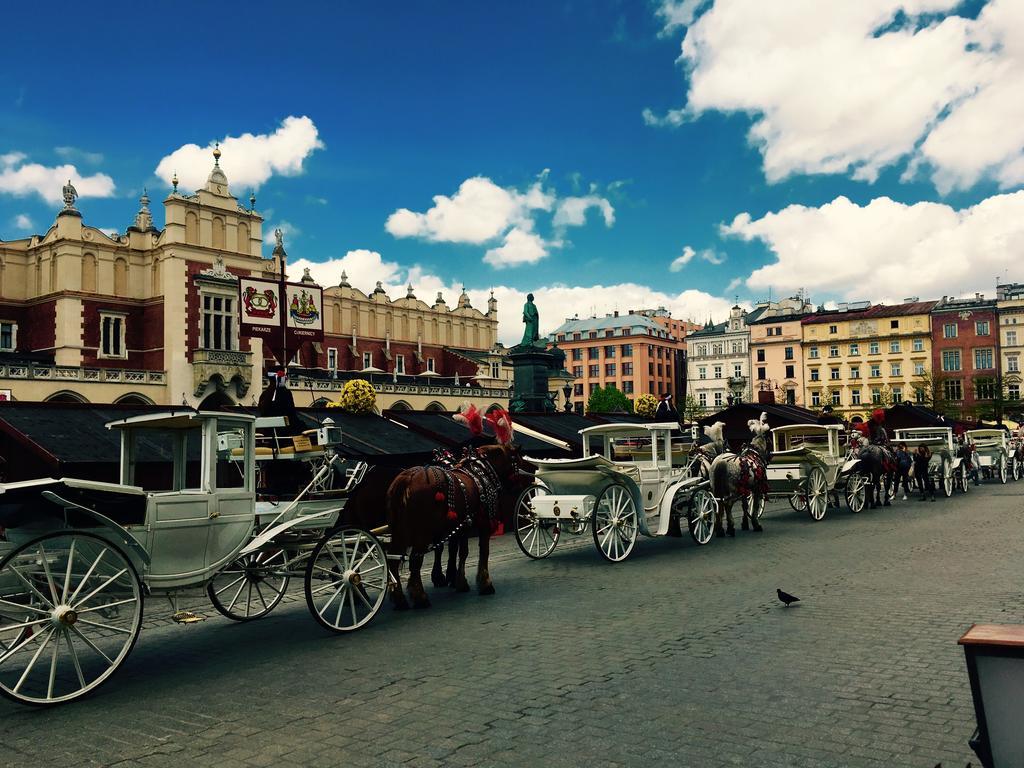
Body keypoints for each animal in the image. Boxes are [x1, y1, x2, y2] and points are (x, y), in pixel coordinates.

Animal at [387, 442, 524, 610]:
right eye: (517, 461)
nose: (519, 486)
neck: (480, 472)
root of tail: (408, 478)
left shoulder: (463, 526)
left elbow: (461, 552)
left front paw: (460, 582)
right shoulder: (483, 524)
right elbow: (484, 552)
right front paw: (485, 583)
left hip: (399, 531)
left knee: (393, 560)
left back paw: (399, 599)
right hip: (421, 532)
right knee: (415, 560)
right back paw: (420, 597)